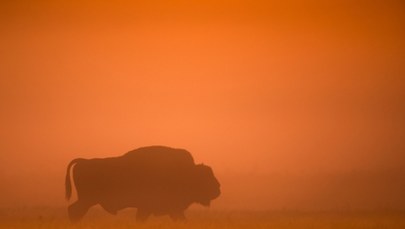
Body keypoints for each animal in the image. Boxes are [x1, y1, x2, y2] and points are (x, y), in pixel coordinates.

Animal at [64, 146, 219, 223]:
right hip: (87, 200)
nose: (217, 190)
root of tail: (83, 161)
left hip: (87, 200)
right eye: (204, 178)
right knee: (74, 211)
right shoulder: (157, 207)